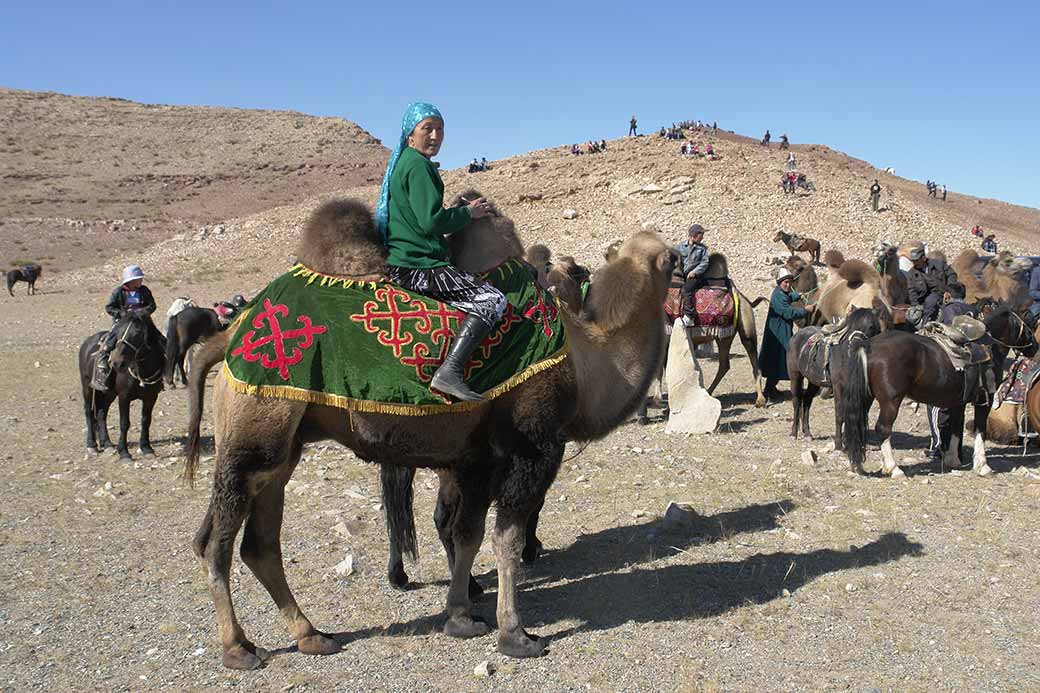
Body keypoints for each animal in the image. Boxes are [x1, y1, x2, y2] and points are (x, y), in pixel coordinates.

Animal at [183, 199, 677, 669]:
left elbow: (467, 534)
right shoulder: (532, 448)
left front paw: (460, 616)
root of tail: (231, 335)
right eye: (671, 260)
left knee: (260, 545)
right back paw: (238, 647)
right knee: (216, 544)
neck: (583, 360)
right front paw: (514, 635)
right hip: (252, 435)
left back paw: (311, 635)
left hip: (282, 452)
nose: (684, 262)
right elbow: (506, 539)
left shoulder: (477, 458)